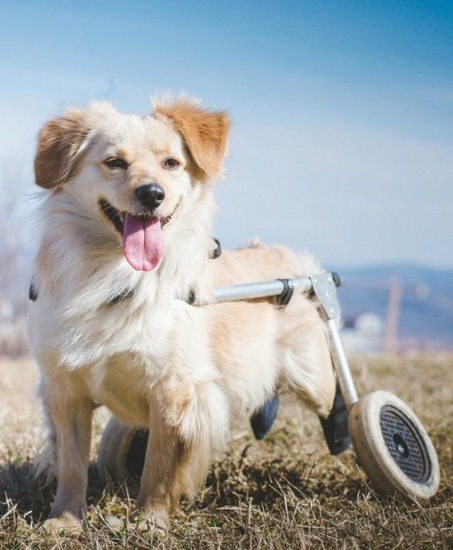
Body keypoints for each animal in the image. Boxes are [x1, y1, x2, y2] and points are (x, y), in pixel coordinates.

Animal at [26, 97, 334, 532]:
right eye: (115, 162)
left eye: (172, 163)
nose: (152, 194)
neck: (113, 276)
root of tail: (281, 257)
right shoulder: (64, 389)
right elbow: (71, 463)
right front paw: (64, 521)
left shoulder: (174, 392)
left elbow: (159, 465)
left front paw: (150, 521)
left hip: (314, 378)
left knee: (338, 404)